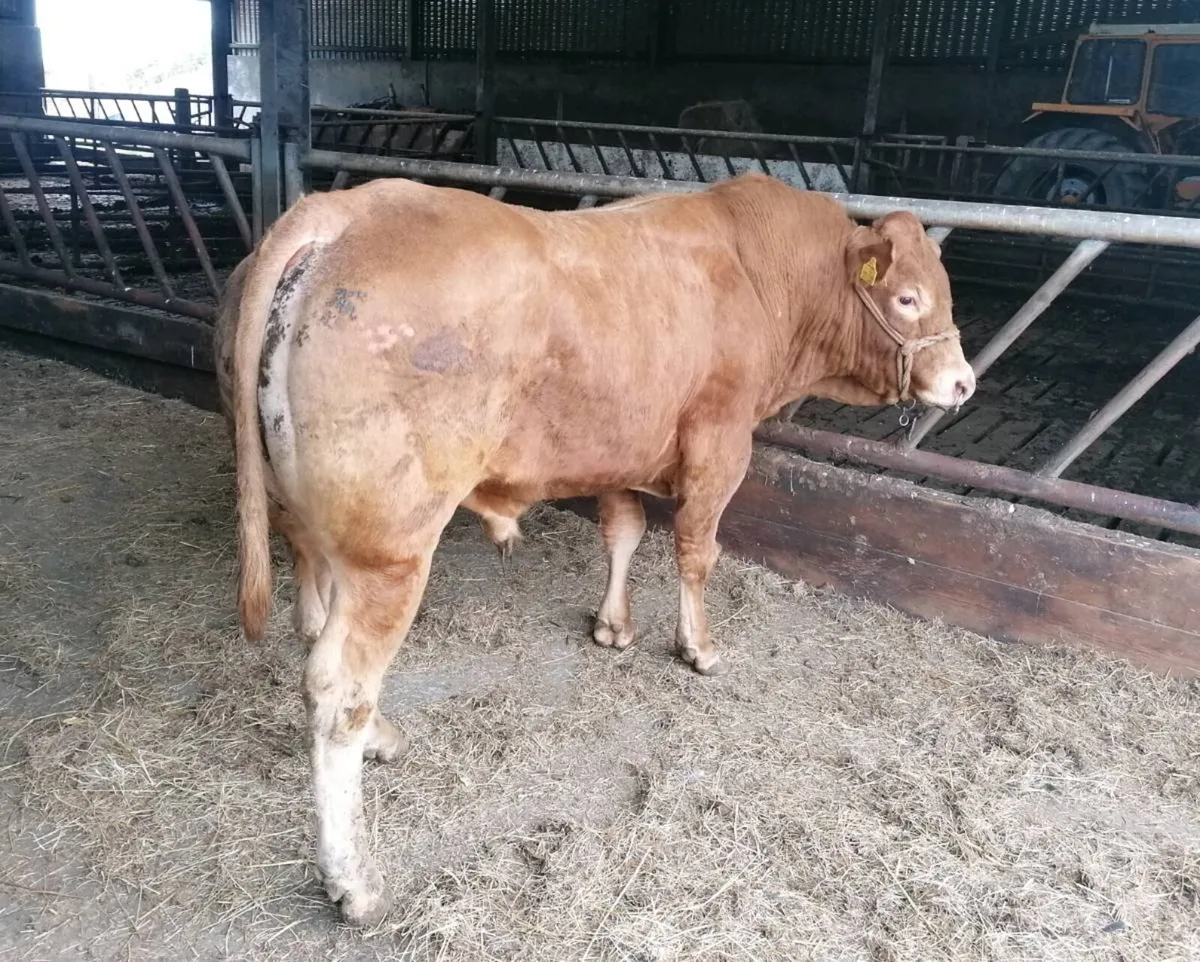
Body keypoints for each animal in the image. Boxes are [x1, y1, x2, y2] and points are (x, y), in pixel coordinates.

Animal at [222, 171, 974, 925]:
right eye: (907, 298)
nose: (963, 381)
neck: (763, 275)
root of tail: (351, 207)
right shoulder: (721, 443)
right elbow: (696, 549)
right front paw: (697, 647)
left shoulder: (623, 447)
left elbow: (624, 530)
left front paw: (614, 625)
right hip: (391, 549)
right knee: (338, 688)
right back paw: (353, 880)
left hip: (317, 522)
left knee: (315, 621)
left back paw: (380, 738)